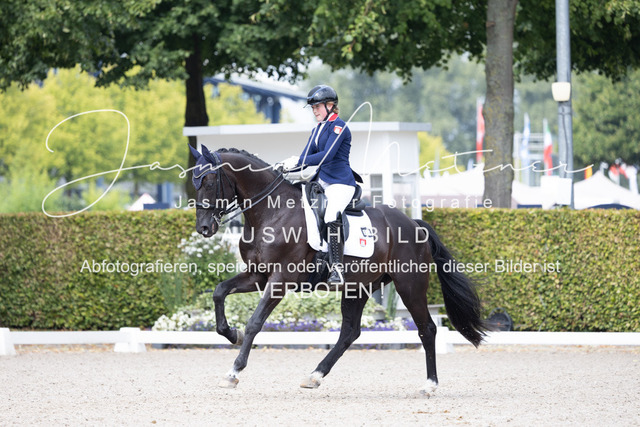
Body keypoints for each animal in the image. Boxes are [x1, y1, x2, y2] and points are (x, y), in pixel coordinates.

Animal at [189, 146, 486, 395]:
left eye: (209, 182)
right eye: (194, 182)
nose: (204, 228)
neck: (271, 212)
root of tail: (414, 224)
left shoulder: (280, 279)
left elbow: (254, 322)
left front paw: (234, 371)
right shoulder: (258, 275)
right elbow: (219, 292)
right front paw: (231, 333)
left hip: (409, 286)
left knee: (427, 329)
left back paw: (429, 385)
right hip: (359, 287)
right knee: (350, 332)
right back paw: (314, 376)